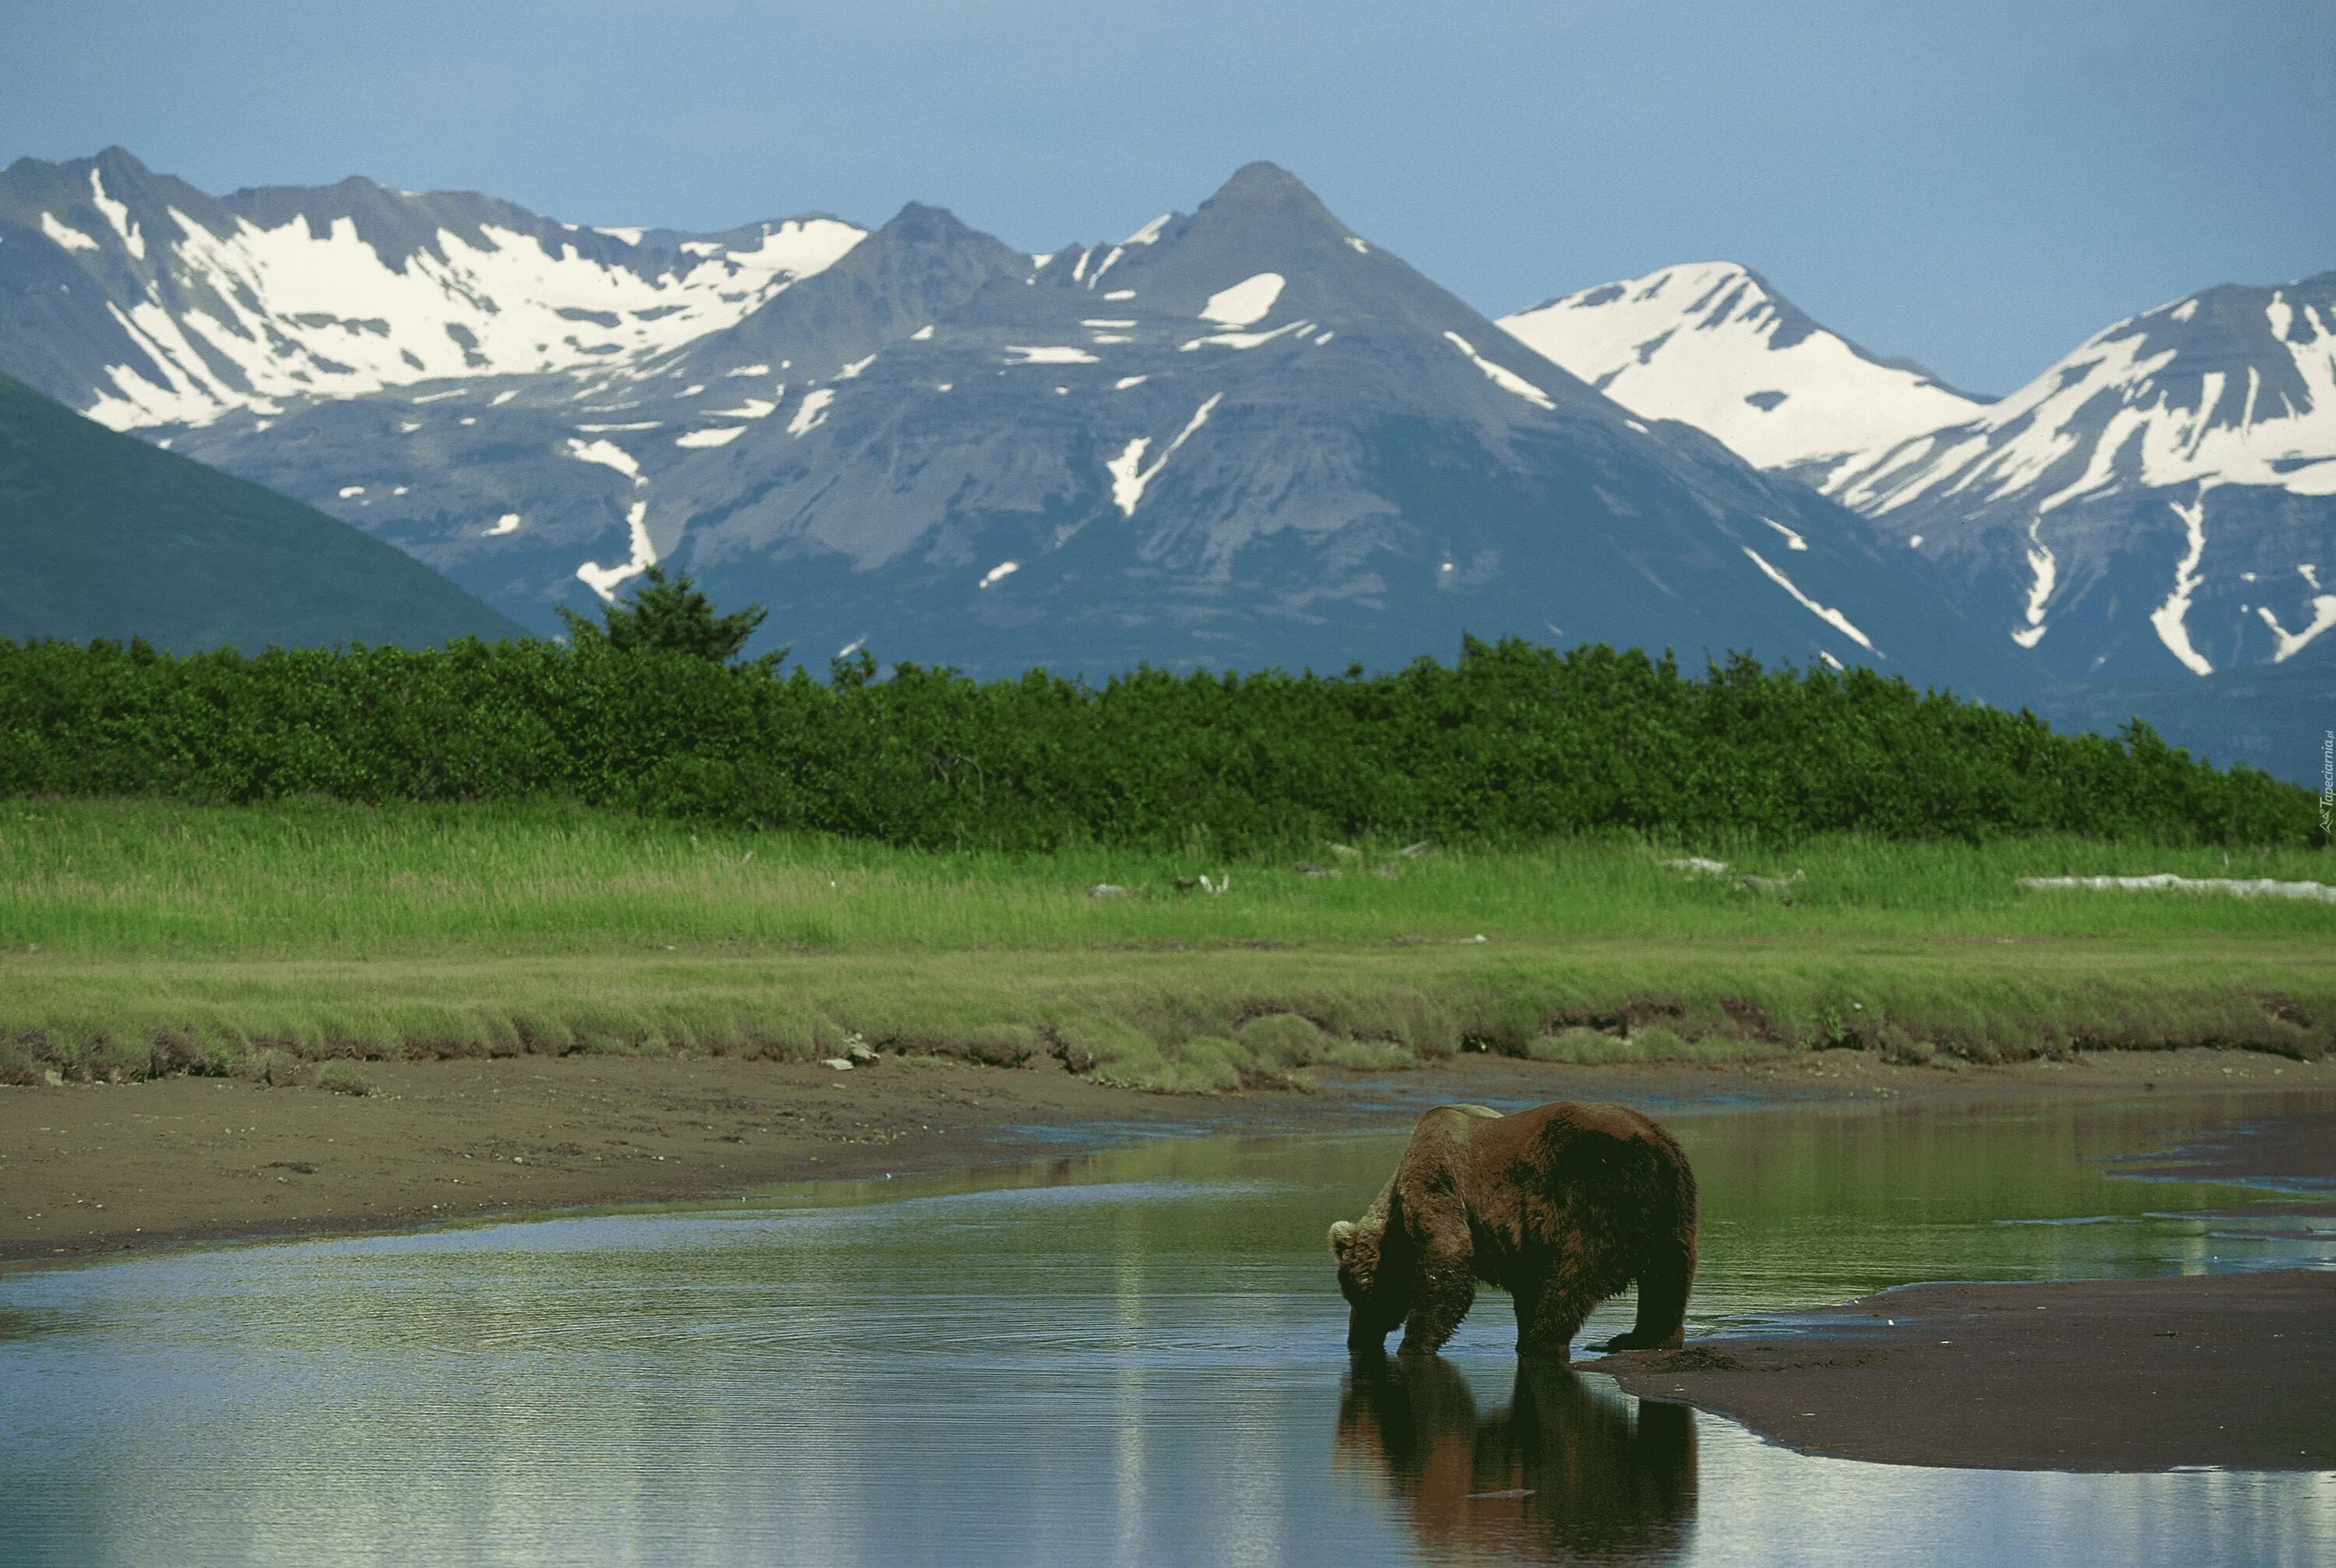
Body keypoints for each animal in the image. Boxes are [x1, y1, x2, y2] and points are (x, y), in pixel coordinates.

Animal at [1336, 1102, 1701, 1364]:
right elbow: (1526, 1286)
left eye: (1353, 1291)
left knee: (1574, 1272)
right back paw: (1645, 1338)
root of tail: (1654, 1143)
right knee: (1668, 1274)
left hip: (1592, 1190)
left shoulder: (1439, 1183)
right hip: (1675, 1204)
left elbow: (1449, 1263)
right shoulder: (1523, 1236)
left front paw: (1412, 1345)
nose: (1355, 1340)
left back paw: (1545, 1343)